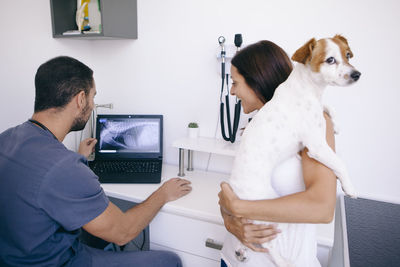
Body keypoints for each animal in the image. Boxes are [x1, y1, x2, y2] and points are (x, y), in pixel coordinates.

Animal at [228, 35, 362, 266]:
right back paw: (282, 261)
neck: (309, 89)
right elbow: (340, 163)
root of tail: (234, 186)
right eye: (330, 60)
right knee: (268, 245)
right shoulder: (317, 146)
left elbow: (329, 107)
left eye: (348, 55)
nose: (357, 74)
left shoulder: (319, 109)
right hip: (267, 213)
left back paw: (240, 249)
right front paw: (349, 187)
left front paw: (335, 123)